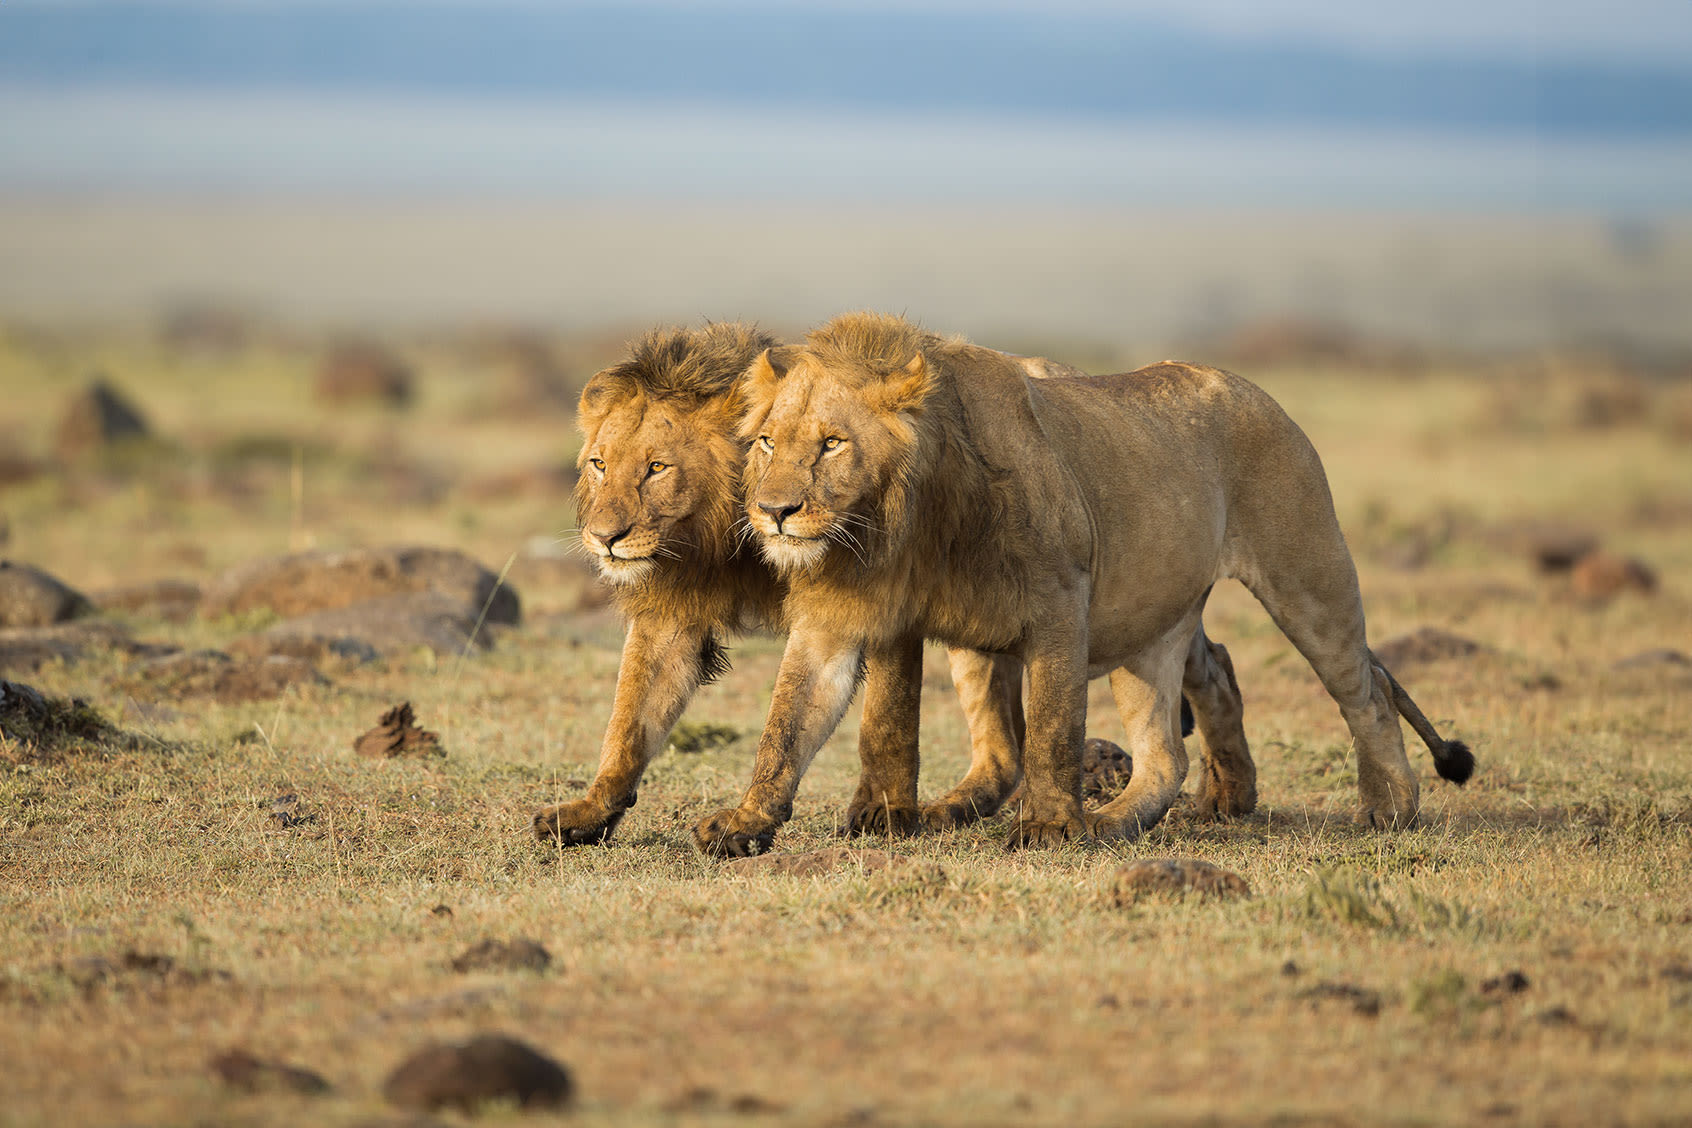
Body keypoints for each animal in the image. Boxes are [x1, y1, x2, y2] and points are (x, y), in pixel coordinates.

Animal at [538, 321, 1258, 842]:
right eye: (599, 464)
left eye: (656, 468)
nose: (604, 538)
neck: (735, 540)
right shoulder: (679, 614)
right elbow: (631, 720)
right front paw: (589, 811)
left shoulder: (887, 597)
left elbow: (884, 717)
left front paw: (880, 817)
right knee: (1200, 660)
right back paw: (1230, 792)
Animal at [690, 309, 1468, 855]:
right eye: (767, 441)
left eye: (832, 444)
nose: (774, 512)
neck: (896, 526)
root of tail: (1250, 386)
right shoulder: (844, 617)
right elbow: (808, 724)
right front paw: (757, 822)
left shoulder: (1062, 604)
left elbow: (1054, 727)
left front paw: (1050, 827)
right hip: (1143, 623)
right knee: (1161, 746)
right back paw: (1139, 813)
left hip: (1305, 575)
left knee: (1363, 691)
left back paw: (1389, 808)